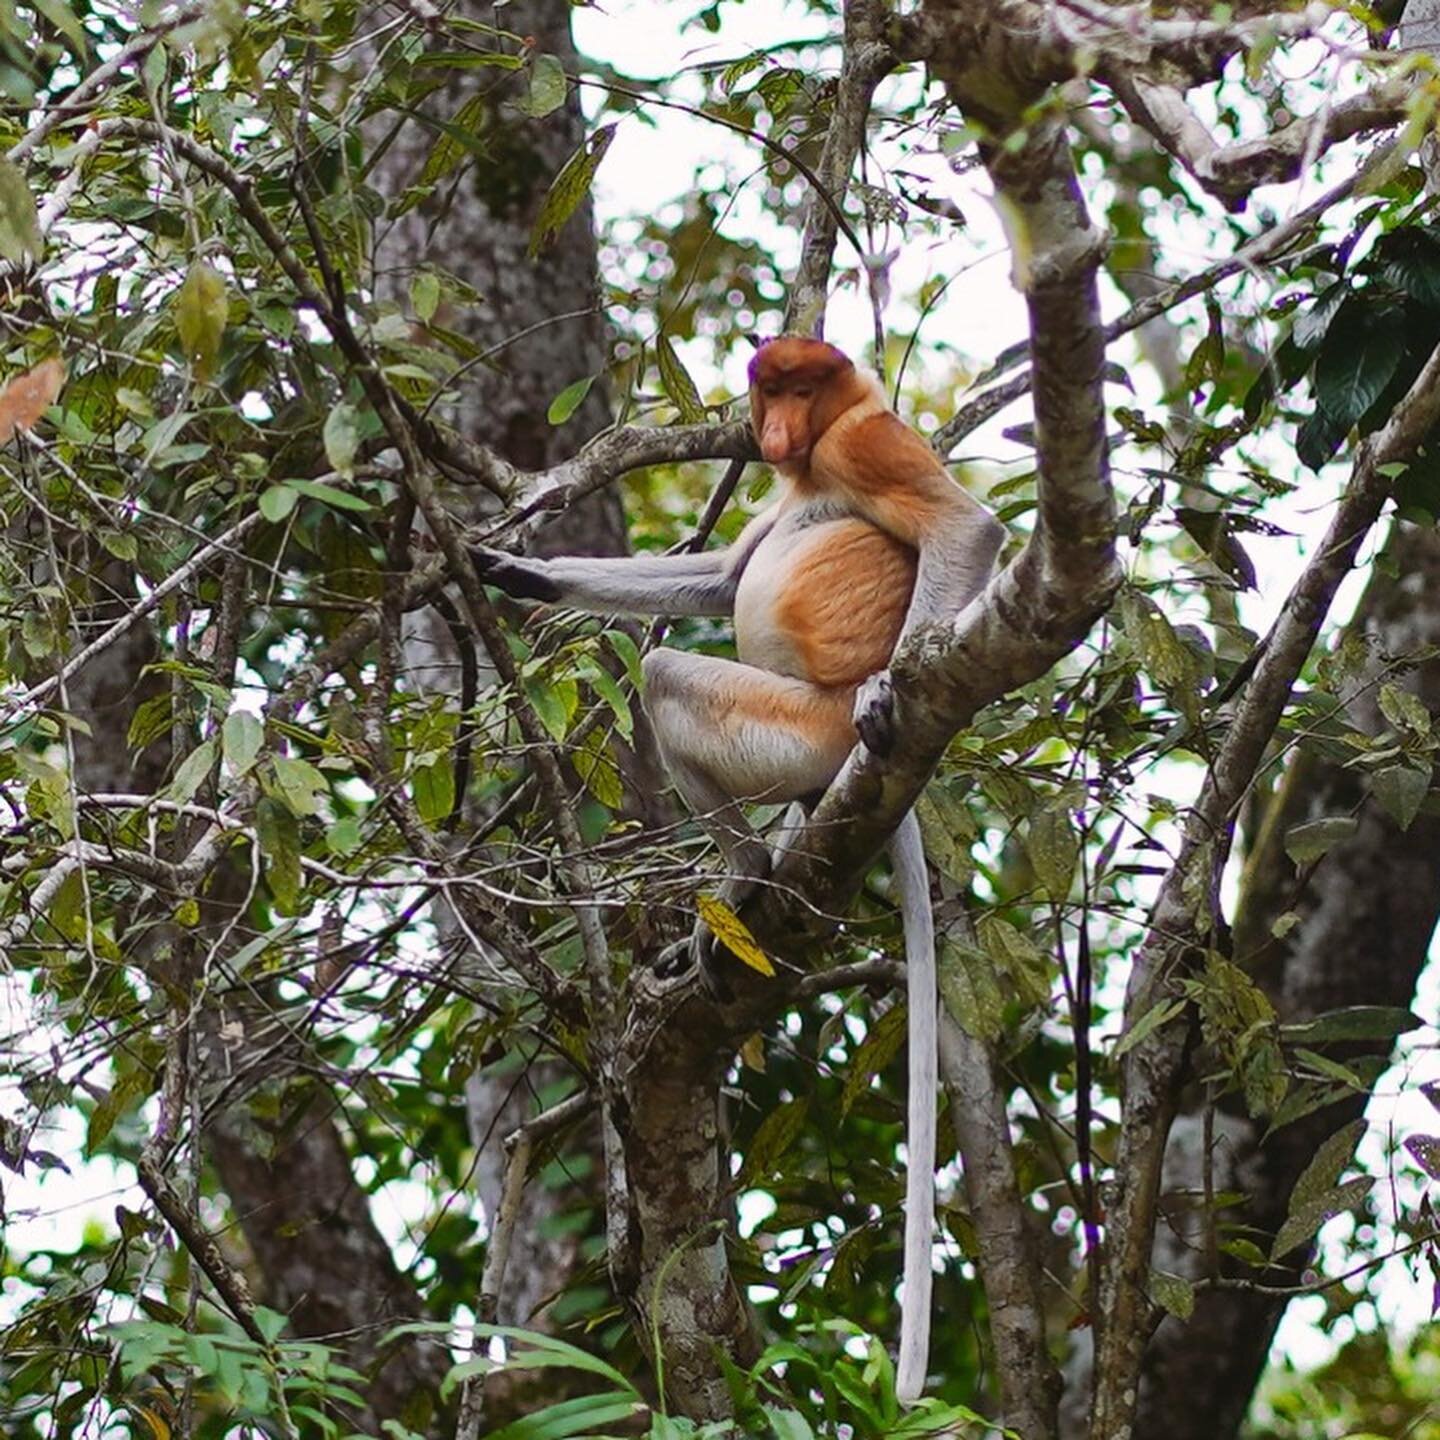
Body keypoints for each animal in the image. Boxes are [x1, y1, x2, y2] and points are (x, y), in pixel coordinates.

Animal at [472, 334, 1002, 1393]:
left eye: (803, 390)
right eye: (771, 392)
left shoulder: (861, 444)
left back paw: (749, 870)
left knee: (671, 677)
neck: (819, 446)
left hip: (795, 727)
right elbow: (722, 577)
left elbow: (967, 527)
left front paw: (886, 685)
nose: (778, 431)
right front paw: (517, 572)